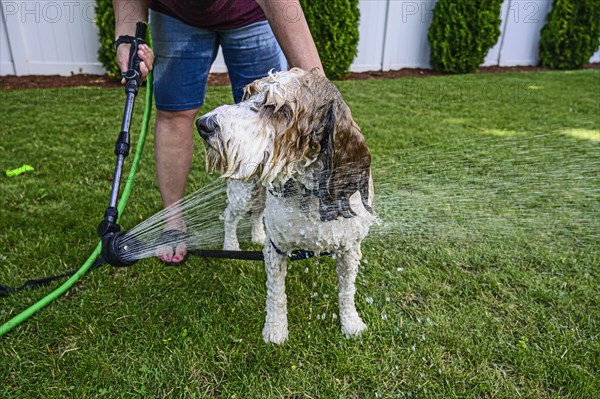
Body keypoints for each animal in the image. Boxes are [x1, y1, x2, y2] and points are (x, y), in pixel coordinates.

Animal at [199, 69, 372, 344]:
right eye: (247, 94)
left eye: (277, 108)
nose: (203, 124)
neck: (310, 192)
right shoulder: (277, 250)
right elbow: (276, 295)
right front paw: (275, 330)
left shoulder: (349, 248)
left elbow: (347, 291)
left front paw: (351, 324)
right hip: (244, 193)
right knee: (230, 216)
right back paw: (231, 245)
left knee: (258, 213)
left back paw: (258, 236)